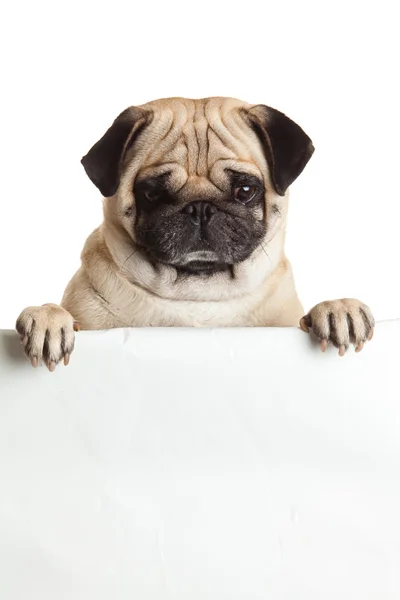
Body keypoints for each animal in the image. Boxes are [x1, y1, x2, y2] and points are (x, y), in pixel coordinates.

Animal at [14, 96, 374, 368]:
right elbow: (60, 314)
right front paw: (47, 318)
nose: (200, 208)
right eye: (153, 193)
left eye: (245, 190)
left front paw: (337, 309)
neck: (198, 295)